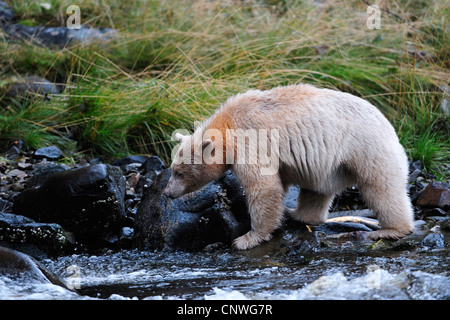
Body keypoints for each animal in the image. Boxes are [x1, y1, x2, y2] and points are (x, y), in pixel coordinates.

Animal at [163, 85, 414, 250]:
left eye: (179, 173)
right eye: (172, 169)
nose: (167, 192)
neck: (227, 125)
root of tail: (389, 124)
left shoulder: (250, 142)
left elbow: (263, 187)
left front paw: (246, 239)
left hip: (367, 149)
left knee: (381, 188)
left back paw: (391, 229)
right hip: (332, 164)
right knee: (316, 191)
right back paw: (296, 213)